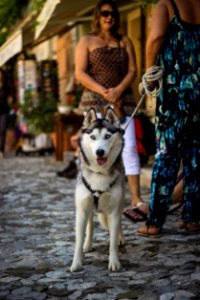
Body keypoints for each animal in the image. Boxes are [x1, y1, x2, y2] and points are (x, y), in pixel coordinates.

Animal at [70, 107, 125, 272]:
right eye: (93, 137)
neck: (99, 173)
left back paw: (120, 238)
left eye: (107, 136)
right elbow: (78, 240)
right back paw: (88, 244)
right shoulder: (81, 209)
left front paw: (114, 261)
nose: (99, 152)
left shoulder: (114, 209)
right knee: (90, 224)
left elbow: (112, 238)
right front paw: (76, 263)